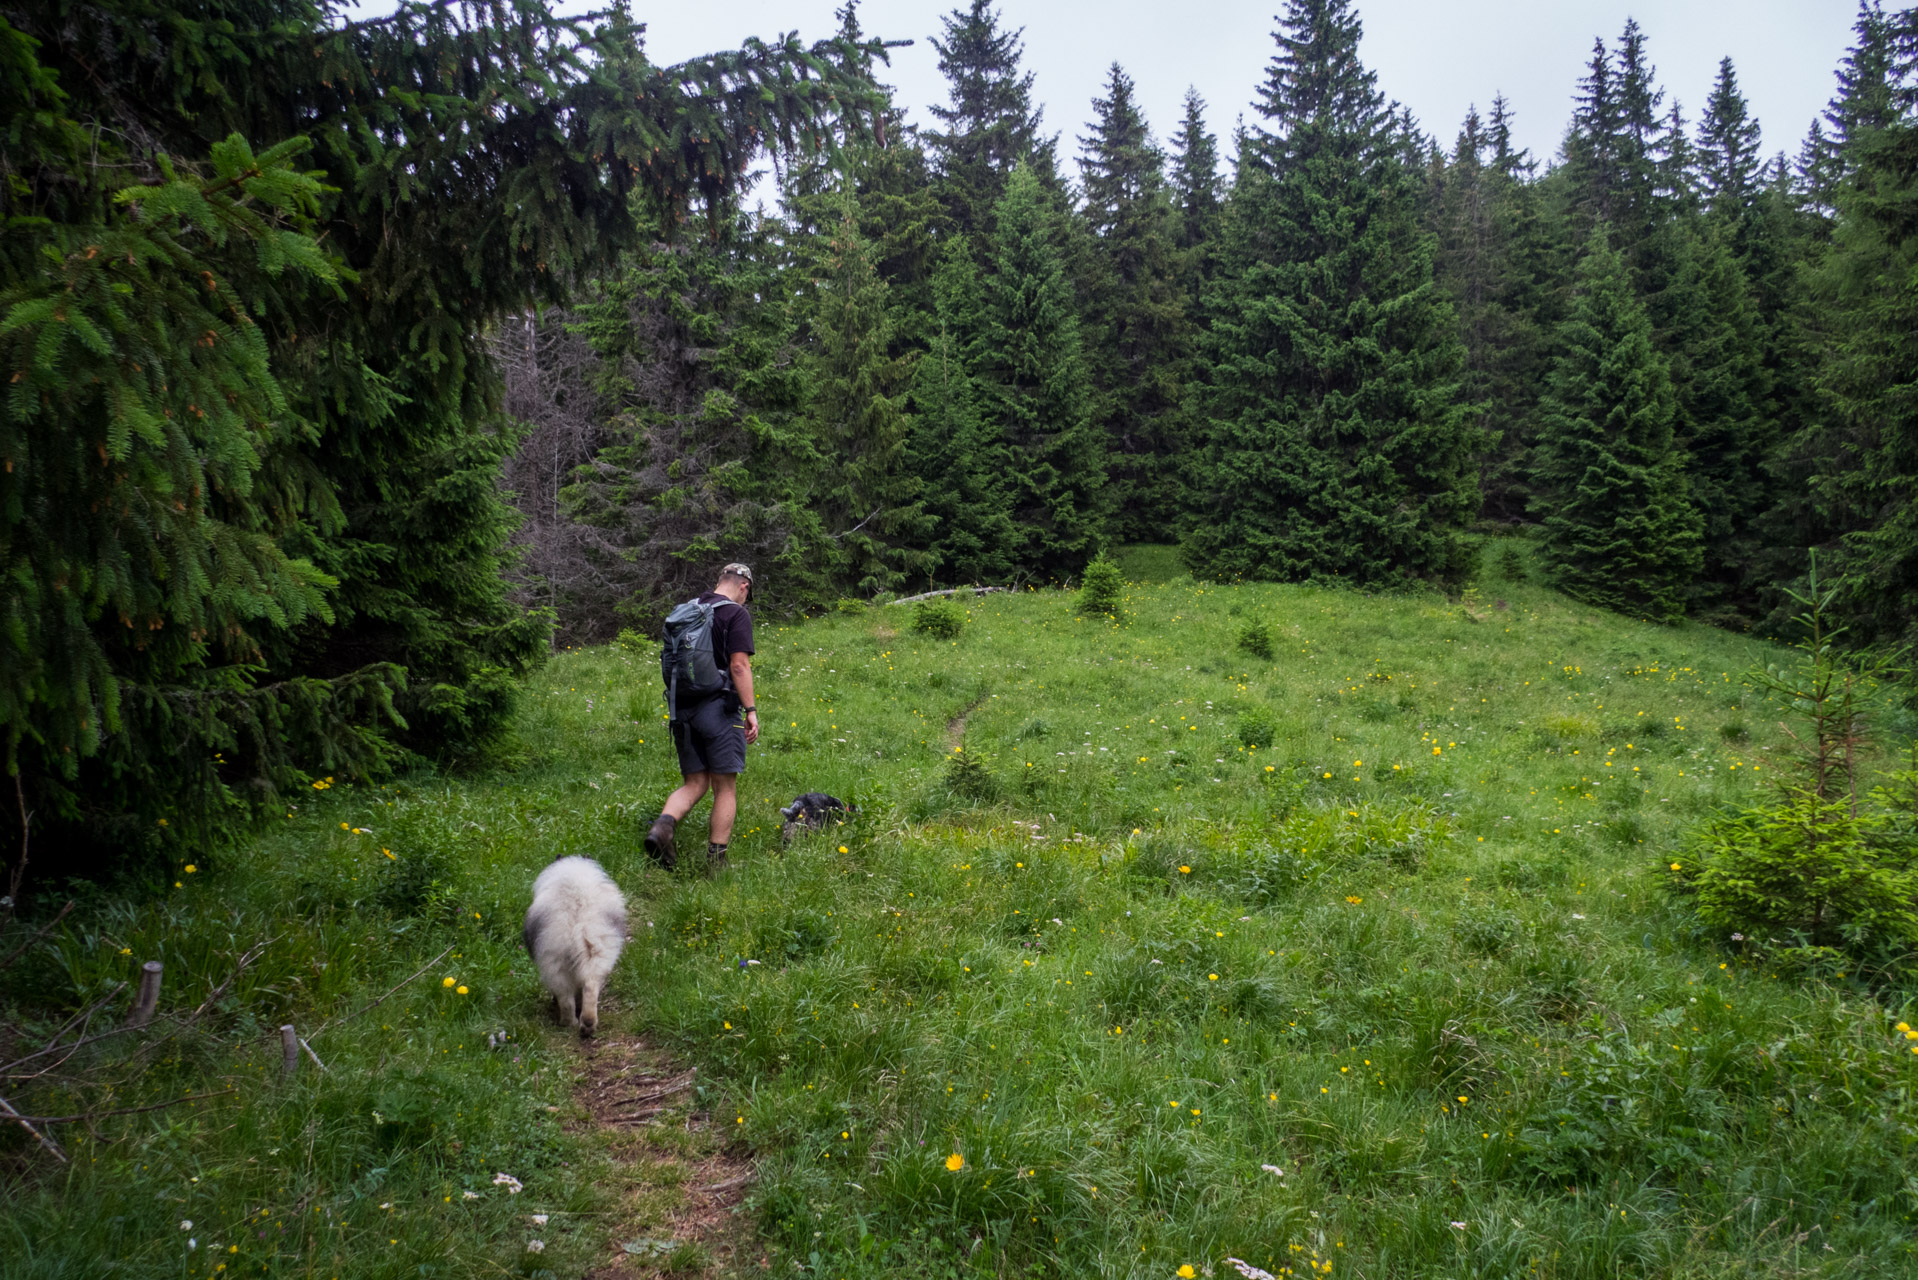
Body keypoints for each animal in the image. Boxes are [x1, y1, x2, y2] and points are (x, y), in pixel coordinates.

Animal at [521, 855, 625, 1036]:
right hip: (597, 953)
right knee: (590, 987)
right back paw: (587, 1024)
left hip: (555, 961)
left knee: (565, 998)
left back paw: (568, 1022)